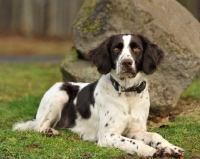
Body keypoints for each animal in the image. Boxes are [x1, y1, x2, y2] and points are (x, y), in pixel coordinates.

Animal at [12, 34, 184, 157]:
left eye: (136, 49)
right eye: (116, 49)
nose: (126, 63)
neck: (127, 93)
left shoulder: (135, 132)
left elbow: (156, 136)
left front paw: (171, 148)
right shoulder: (108, 135)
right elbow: (134, 144)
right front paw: (152, 151)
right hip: (61, 92)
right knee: (39, 126)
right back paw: (48, 131)